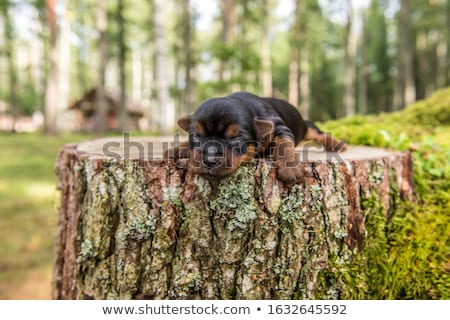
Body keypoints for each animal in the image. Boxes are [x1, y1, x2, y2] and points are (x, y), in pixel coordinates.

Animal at [165, 91, 344, 184]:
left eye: (235, 138)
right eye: (197, 135)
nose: (209, 160)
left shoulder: (279, 127)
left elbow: (285, 145)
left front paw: (290, 168)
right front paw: (178, 149)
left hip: (305, 126)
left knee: (318, 133)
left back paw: (337, 145)